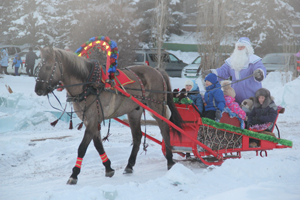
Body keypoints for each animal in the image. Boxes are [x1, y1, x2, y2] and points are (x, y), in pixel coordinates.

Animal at [34, 46, 183, 184]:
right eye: (38, 67)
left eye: (48, 67)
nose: (38, 90)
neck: (89, 84)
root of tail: (157, 70)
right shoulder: (91, 121)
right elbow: (98, 144)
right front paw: (108, 168)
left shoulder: (93, 120)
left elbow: (82, 148)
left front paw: (74, 174)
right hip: (134, 111)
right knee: (137, 137)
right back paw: (129, 165)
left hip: (157, 106)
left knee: (165, 129)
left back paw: (170, 160)